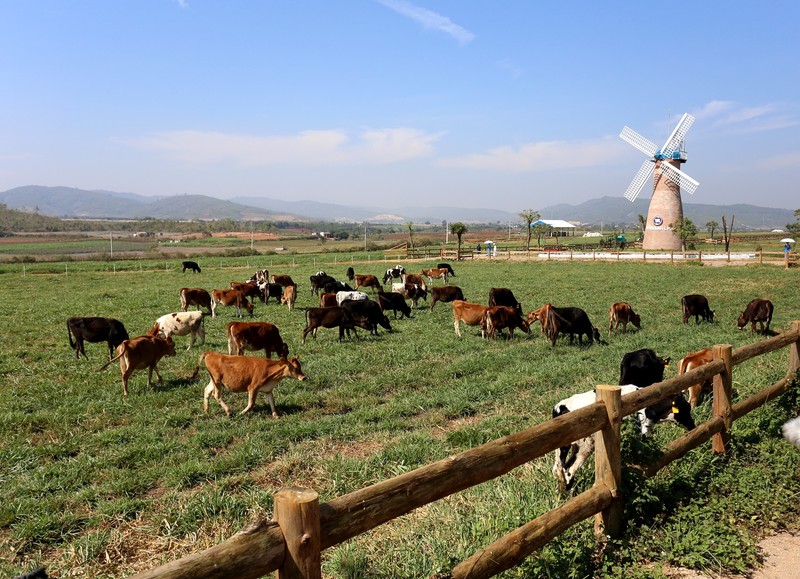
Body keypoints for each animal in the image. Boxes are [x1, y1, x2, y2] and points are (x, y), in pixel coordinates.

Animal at [556, 386, 692, 494]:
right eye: (686, 408)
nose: (693, 426)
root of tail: (561, 405)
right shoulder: (641, 434)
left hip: (581, 446)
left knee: (566, 469)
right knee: (564, 469)